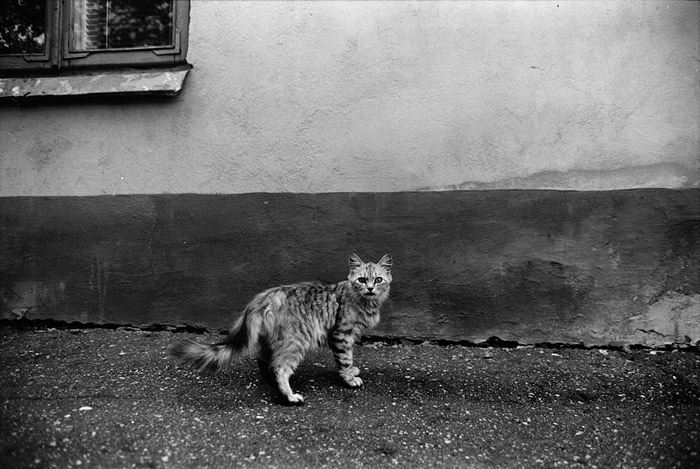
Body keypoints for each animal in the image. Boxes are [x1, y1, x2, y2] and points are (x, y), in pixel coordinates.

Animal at [168, 254, 388, 404]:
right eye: (361, 280)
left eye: (378, 280)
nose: (370, 288)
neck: (366, 302)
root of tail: (262, 298)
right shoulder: (341, 335)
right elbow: (345, 359)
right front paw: (349, 378)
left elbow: (347, 360)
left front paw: (351, 372)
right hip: (296, 341)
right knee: (280, 367)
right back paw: (289, 396)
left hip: (273, 340)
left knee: (265, 361)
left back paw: (271, 383)